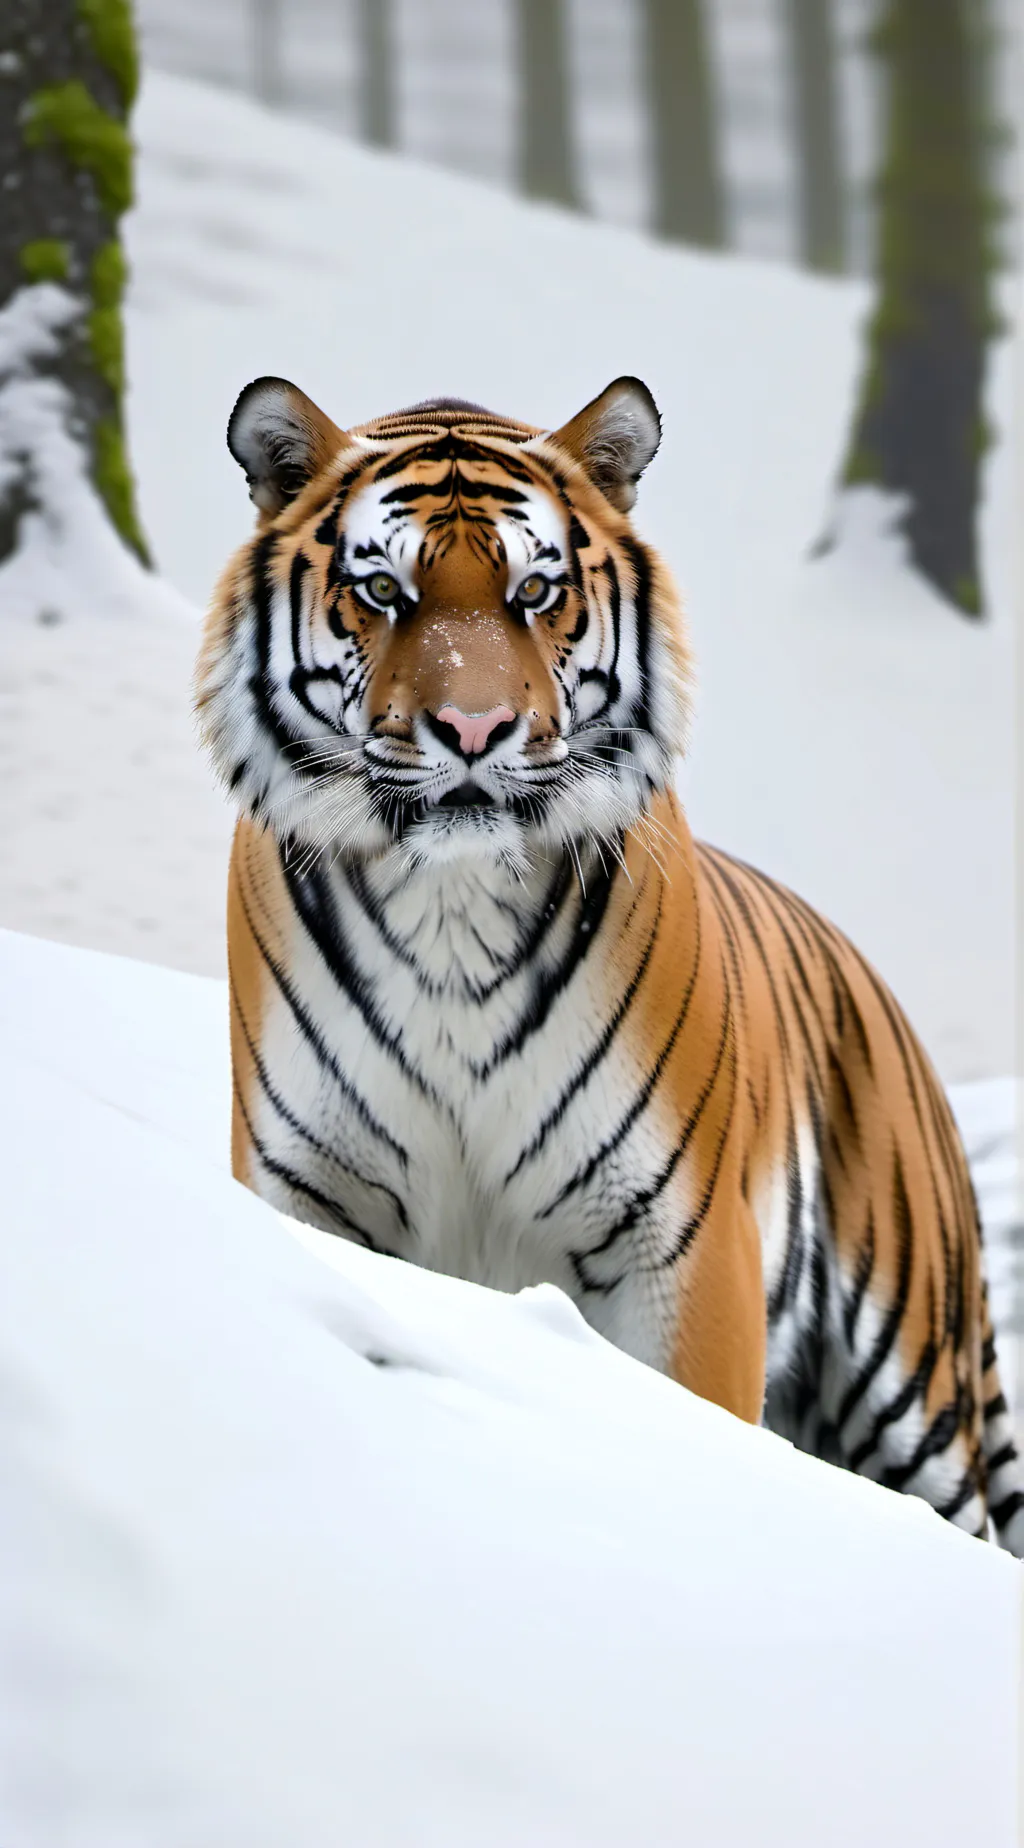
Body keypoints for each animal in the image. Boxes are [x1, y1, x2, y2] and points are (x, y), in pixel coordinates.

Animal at [196, 371, 1024, 1554]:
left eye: (537, 591)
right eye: (384, 591)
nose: (474, 729)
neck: (452, 899)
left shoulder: (676, 1244)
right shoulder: (304, 1189)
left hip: (915, 1387)